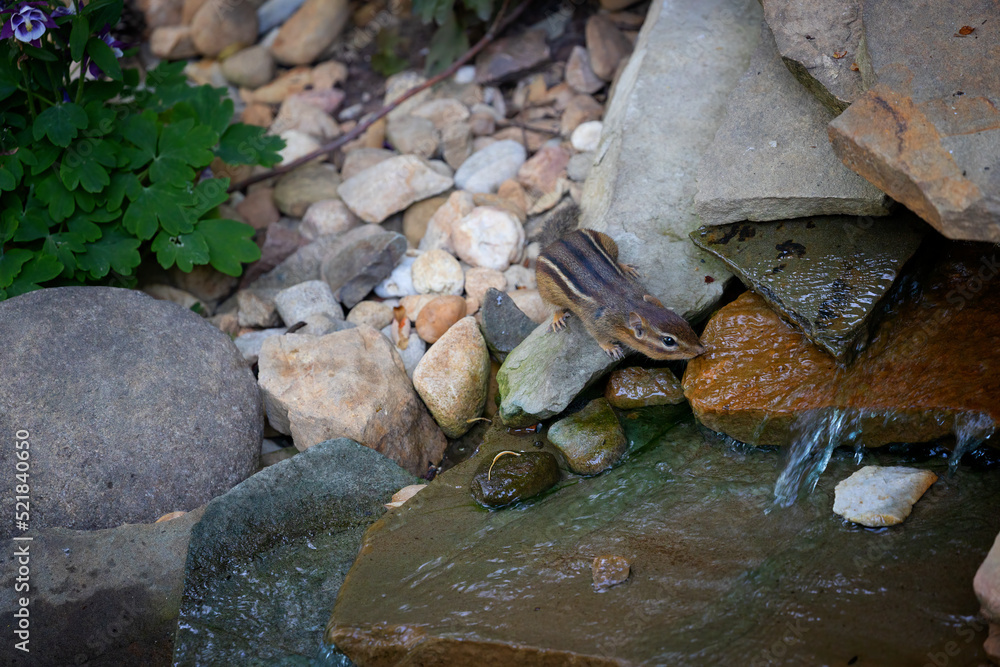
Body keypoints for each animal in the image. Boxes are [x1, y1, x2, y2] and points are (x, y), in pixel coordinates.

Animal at [536, 228, 706, 361]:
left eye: (684, 322)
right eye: (668, 341)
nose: (701, 350)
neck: (630, 303)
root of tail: (558, 240)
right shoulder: (595, 323)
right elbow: (599, 337)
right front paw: (610, 347)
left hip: (609, 242)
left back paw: (625, 267)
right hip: (545, 287)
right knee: (552, 305)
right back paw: (557, 317)